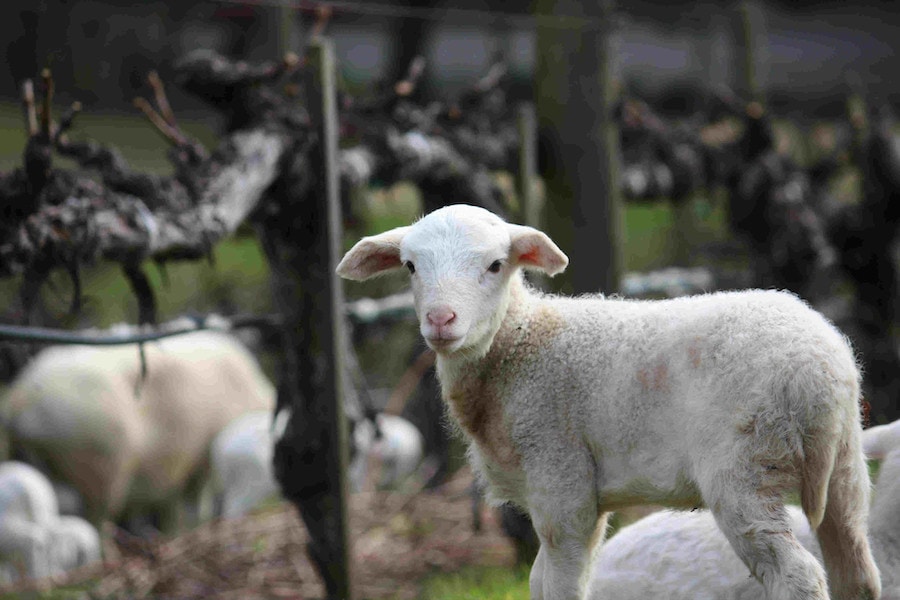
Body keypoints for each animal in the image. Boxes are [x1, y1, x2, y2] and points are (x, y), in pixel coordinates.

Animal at [0, 330, 274, 532]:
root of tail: (22, 398)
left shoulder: (175, 472)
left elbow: (175, 514)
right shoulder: (200, 466)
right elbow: (194, 508)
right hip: (102, 469)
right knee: (96, 525)